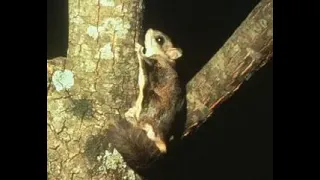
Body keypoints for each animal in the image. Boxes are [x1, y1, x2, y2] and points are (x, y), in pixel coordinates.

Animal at [106, 28, 184, 177]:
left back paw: (131, 116)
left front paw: (139, 49)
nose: (150, 29)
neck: (163, 57)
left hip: (149, 101)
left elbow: (142, 60)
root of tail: (161, 140)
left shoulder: (151, 64)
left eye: (160, 39)